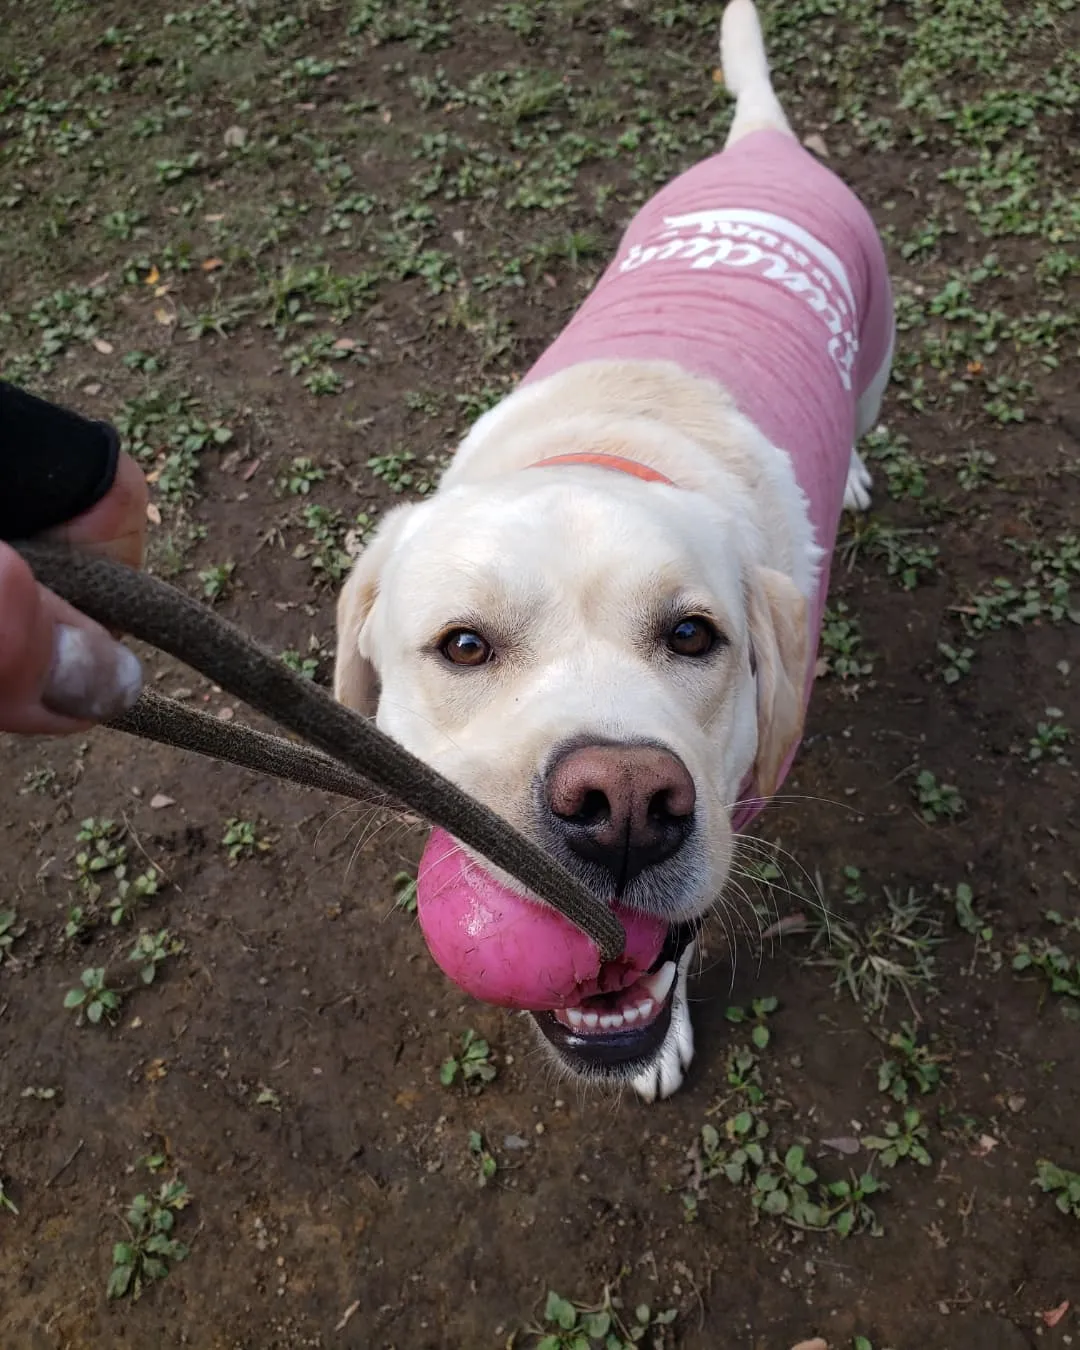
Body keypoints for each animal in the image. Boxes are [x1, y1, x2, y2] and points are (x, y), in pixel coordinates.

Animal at [334, 0, 896, 1096]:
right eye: (463, 646)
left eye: (692, 635)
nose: (626, 803)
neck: (606, 441)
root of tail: (761, 142)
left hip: (879, 340)